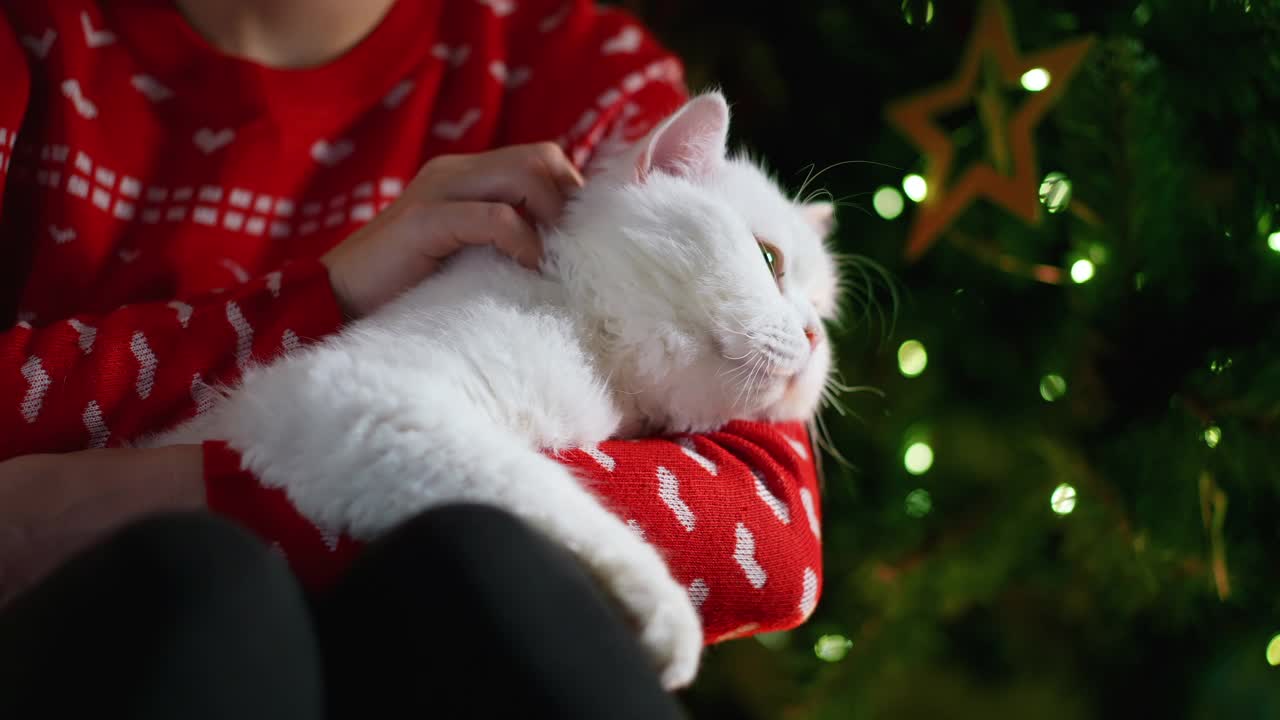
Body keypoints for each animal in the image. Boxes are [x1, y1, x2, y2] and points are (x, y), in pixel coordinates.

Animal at [147, 92, 839, 686]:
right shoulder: (357, 400)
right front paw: (661, 607)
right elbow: (539, 489)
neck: (587, 329)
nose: (813, 338)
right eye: (769, 260)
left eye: (823, 311)